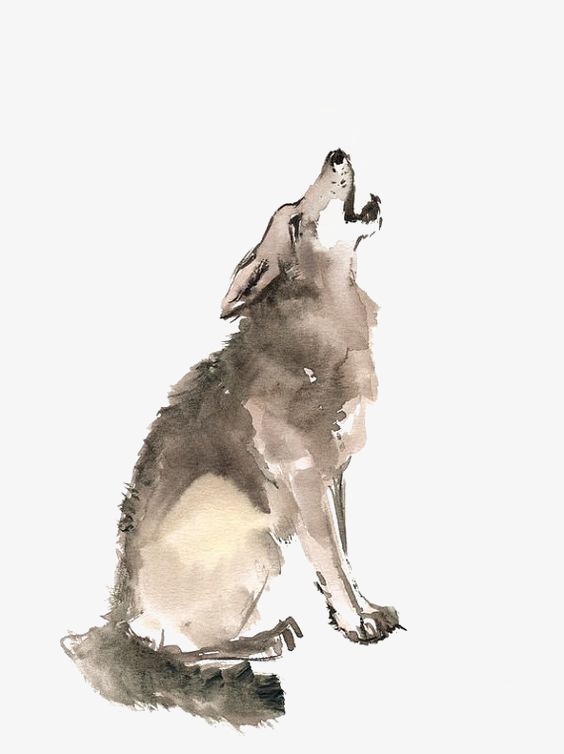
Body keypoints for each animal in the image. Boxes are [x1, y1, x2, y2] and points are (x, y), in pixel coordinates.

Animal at [62, 149, 402, 725]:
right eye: (295, 222)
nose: (336, 153)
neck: (324, 326)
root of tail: (117, 617)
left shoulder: (336, 478)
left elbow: (347, 558)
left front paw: (364, 609)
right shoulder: (307, 482)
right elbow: (332, 561)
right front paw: (356, 623)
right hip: (260, 541)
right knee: (174, 647)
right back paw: (264, 641)